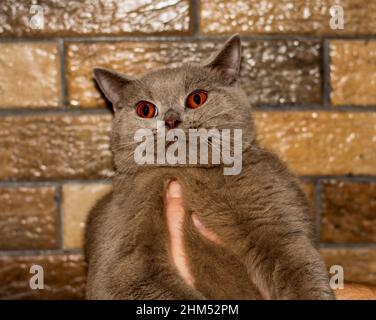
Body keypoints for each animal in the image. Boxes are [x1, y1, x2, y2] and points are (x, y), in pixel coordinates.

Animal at [86, 35, 334, 300]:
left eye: (197, 98)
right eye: (145, 109)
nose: (171, 119)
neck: (187, 171)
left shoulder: (280, 226)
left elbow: (301, 269)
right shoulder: (122, 262)